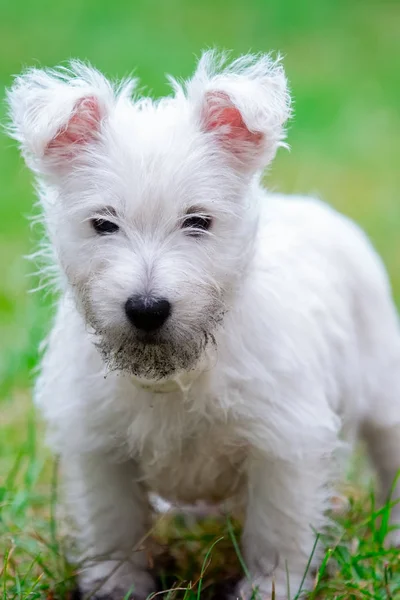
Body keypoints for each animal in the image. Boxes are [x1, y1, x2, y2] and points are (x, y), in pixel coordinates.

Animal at [7, 52, 400, 600]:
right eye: (104, 224)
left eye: (198, 221)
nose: (147, 308)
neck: (178, 371)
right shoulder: (98, 445)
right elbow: (113, 523)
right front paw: (118, 583)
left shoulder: (286, 442)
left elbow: (278, 526)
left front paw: (273, 585)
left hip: (385, 394)